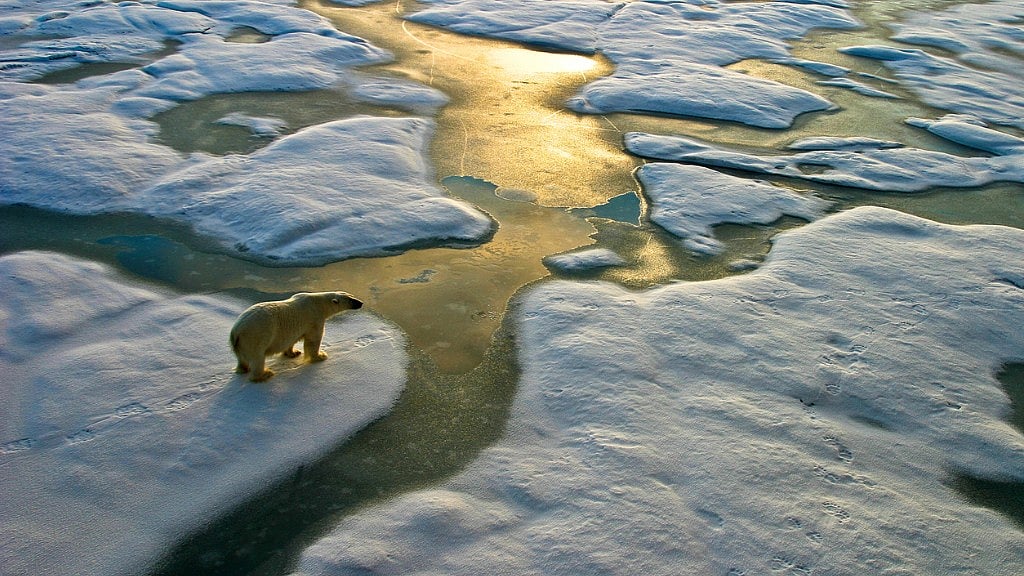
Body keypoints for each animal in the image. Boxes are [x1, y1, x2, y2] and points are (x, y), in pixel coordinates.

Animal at [230, 291, 363, 382]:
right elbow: (313, 340)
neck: (318, 303)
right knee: (257, 358)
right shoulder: (314, 319)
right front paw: (320, 356)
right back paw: (265, 374)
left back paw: (243, 369)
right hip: (255, 337)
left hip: (240, 344)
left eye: (351, 295)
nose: (361, 302)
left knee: (242, 359)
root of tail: (236, 331)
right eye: (350, 299)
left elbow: (291, 340)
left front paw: (294, 353)